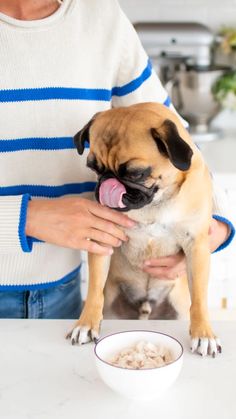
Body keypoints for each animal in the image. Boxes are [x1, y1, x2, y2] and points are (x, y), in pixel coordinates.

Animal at [68, 101, 221, 358]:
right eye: (94, 168)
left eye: (136, 173)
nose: (107, 183)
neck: (154, 205)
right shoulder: (103, 240)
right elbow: (94, 290)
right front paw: (86, 324)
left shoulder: (197, 246)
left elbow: (199, 298)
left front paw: (203, 334)